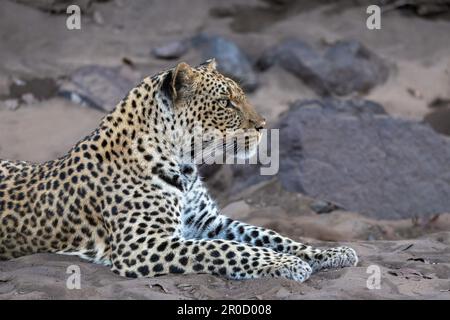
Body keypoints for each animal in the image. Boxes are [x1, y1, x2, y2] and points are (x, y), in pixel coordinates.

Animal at [0, 60, 358, 282]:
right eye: (226, 103)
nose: (262, 125)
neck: (185, 166)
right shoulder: (144, 245)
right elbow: (227, 249)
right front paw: (288, 264)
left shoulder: (209, 222)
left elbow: (268, 235)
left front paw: (330, 253)